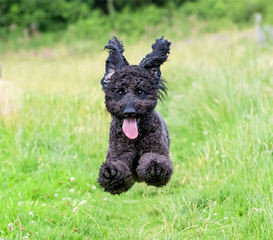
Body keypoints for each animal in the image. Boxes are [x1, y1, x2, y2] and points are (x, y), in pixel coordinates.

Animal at [96, 36, 172, 194]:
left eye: (140, 91)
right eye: (120, 92)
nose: (129, 111)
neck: (135, 139)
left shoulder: (156, 149)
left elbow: (156, 159)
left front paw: (156, 168)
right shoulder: (119, 154)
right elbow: (118, 167)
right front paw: (111, 174)